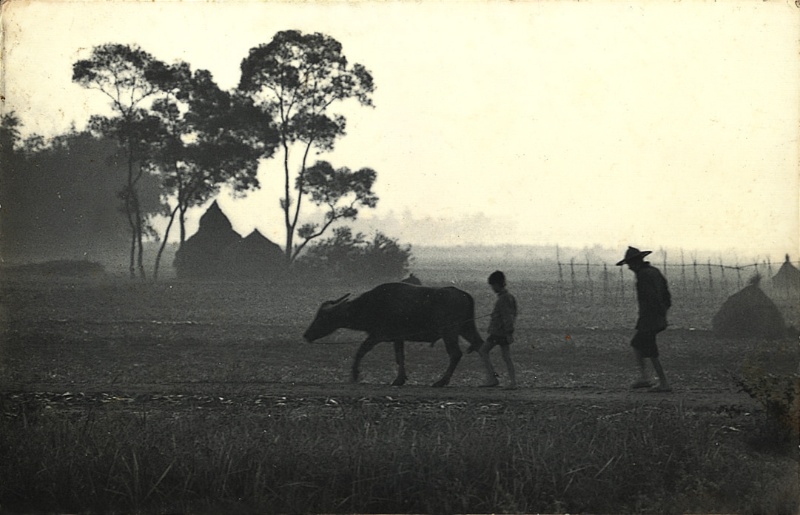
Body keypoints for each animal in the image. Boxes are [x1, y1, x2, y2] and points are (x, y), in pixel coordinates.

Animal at [304, 282, 482, 388]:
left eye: (322, 317)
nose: (306, 335)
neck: (372, 304)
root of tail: (463, 294)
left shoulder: (377, 335)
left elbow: (361, 351)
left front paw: (355, 375)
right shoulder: (398, 338)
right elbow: (400, 357)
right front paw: (399, 379)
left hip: (449, 332)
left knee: (456, 354)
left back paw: (442, 381)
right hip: (466, 328)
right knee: (481, 345)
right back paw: (488, 380)